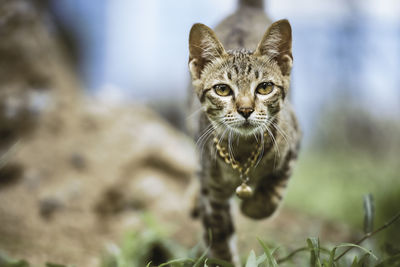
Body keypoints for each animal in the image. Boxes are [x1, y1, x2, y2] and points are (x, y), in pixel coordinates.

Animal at [188, 0, 300, 264]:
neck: (243, 151)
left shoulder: (294, 140)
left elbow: (273, 193)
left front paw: (253, 207)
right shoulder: (213, 193)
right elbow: (219, 239)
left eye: (265, 87)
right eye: (222, 90)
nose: (246, 109)